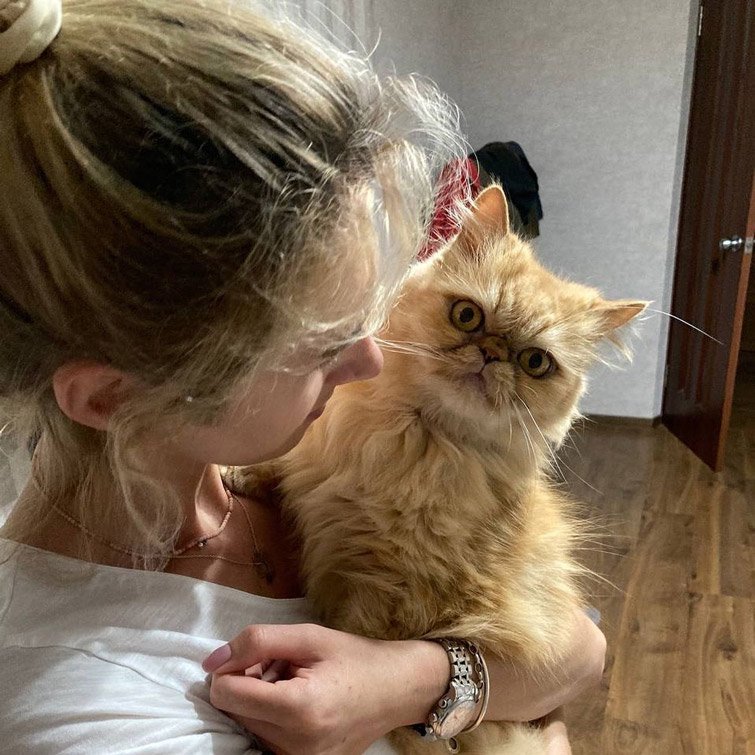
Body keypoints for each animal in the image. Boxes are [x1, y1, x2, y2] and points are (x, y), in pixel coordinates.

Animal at [229, 185, 644, 754]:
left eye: (535, 362)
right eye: (468, 316)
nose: (491, 353)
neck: (412, 444)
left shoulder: (393, 595)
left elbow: (354, 639)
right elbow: (286, 464)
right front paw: (241, 474)